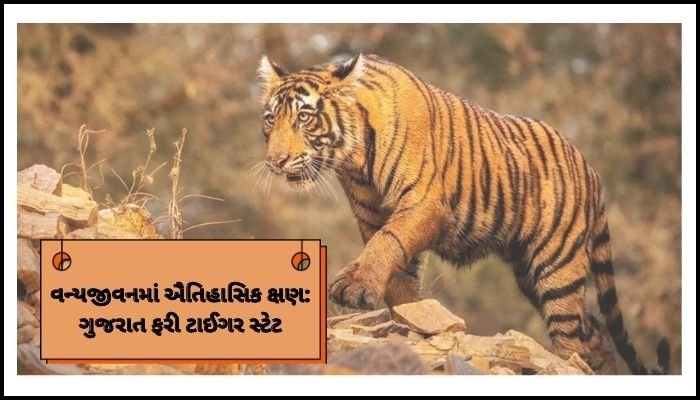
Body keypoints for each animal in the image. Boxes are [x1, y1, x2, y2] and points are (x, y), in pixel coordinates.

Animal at [257, 53, 670, 375]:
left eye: (304, 118)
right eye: (269, 120)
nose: (275, 161)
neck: (354, 159)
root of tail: (592, 170)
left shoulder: (423, 203)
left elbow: (388, 242)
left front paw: (355, 287)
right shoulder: (371, 214)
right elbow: (396, 271)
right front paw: (412, 316)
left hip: (557, 268)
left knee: (574, 338)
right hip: (528, 270)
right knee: (596, 333)